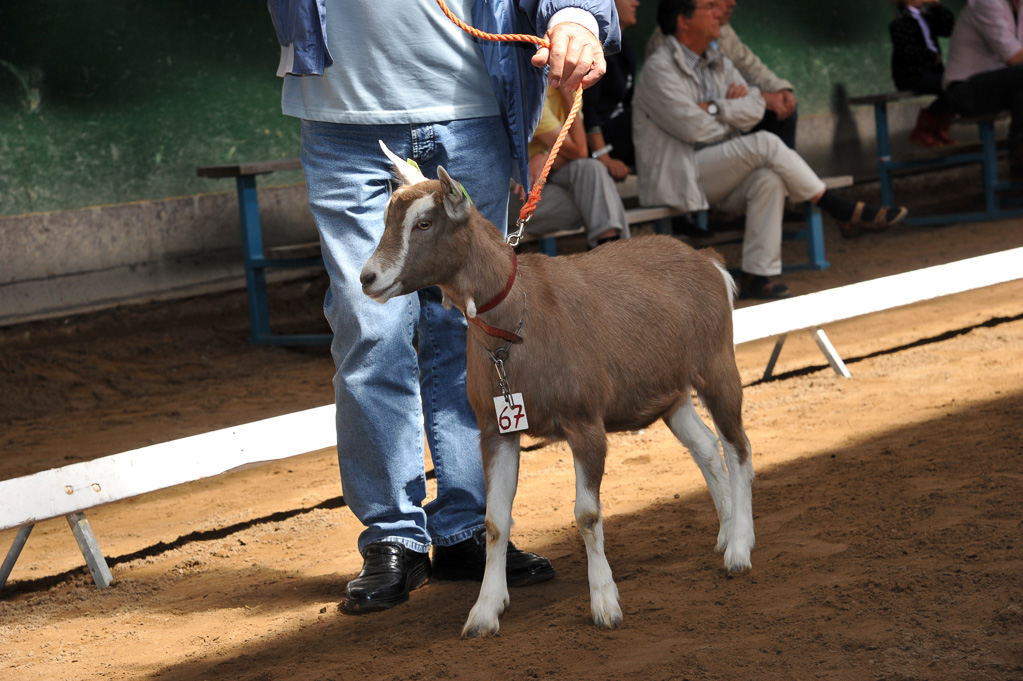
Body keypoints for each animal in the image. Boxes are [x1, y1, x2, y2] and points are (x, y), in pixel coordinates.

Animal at [364, 143, 757, 638]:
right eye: (387, 218)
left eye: (424, 224)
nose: (367, 278)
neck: (517, 322)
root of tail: (709, 261)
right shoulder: (496, 431)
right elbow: (495, 521)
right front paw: (485, 610)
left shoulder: (585, 423)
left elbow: (587, 515)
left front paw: (605, 603)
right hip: (669, 391)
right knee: (707, 448)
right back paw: (725, 533)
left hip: (717, 364)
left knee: (738, 447)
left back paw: (740, 547)